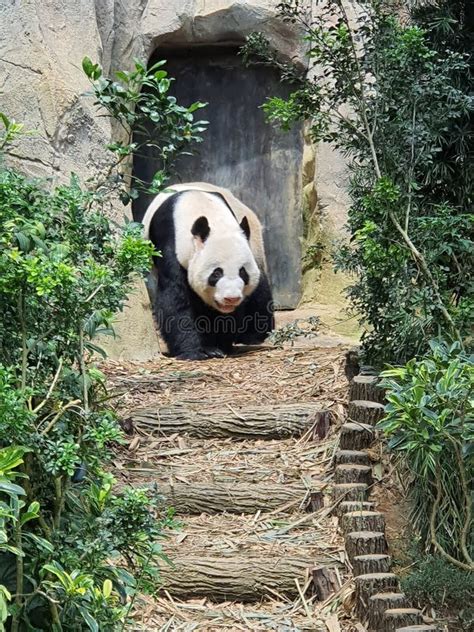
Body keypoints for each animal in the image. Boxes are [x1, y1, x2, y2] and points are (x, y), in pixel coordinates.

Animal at [142, 183, 274, 360]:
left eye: (243, 273)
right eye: (216, 273)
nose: (231, 298)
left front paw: (221, 344)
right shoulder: (171, 245)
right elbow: (175, 299)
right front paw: (195, 351)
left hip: (255, 244)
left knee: (260, 289)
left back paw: (252, 336)